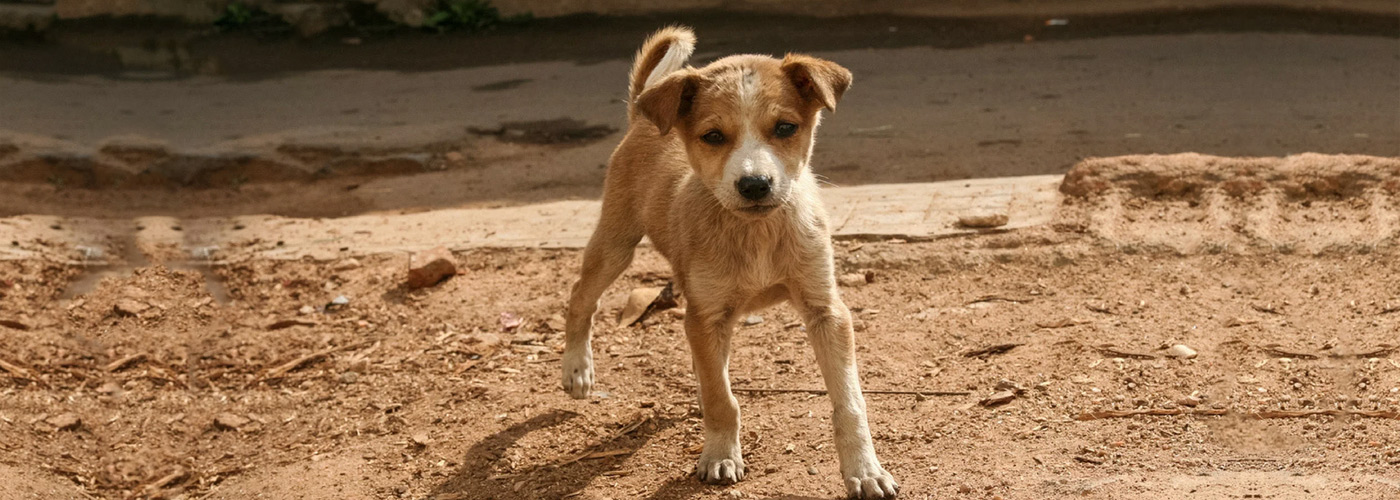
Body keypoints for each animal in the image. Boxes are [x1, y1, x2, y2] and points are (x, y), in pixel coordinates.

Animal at [557, 26, 896, 495]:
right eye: (714, 136)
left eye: (786, 128)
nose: (754, 185)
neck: (757, 234)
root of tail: (641, 114)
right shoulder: (706, 315)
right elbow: (724, 400)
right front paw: (719, 455)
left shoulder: (825, 310)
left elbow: (849, 402)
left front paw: (865, 470)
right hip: (616, 244)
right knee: (580, 297)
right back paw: (577, 369)